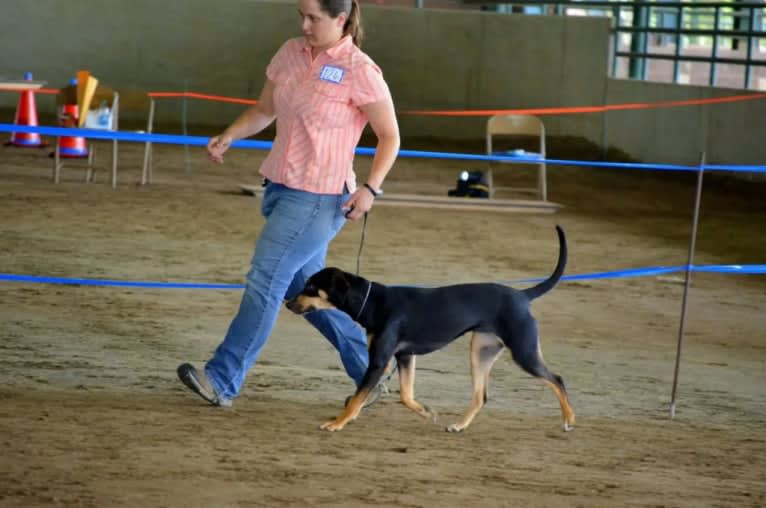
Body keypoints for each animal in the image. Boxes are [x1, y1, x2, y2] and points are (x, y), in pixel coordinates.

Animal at [288, 226, 576, 432]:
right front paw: (427, 412)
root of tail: (523, 296)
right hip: (481, 351)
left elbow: (360, 396)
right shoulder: (404, 356)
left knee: (557, 379)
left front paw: (337, 423)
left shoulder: (380, 360)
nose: (288, 302)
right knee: (481, 396)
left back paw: (568, 419)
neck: (373, 301)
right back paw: (459, 426)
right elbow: (406, 395)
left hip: (523, 351)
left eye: (310, 287)